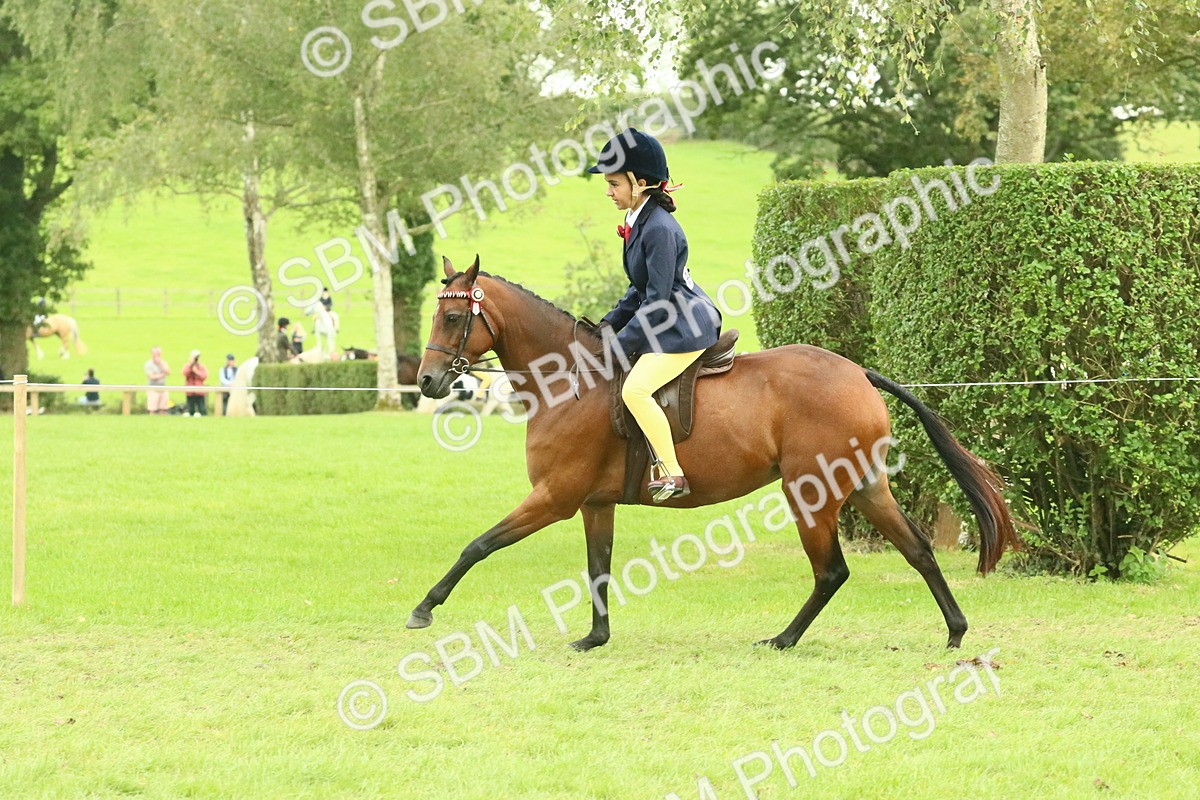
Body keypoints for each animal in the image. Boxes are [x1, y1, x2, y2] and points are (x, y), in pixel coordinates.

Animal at [409, 256, 1019, 653]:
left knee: (831, 570)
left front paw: (424, 608)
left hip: (810, 493)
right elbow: (597, 568)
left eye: (455, 318)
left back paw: (784, 639)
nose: (428, 382)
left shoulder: (554, 497)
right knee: (917, 550)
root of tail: (858, 373)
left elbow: (478, 545)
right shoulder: (593, 504)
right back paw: (955, 631)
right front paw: (595, 637)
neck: (568, 380)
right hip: (867, 486)